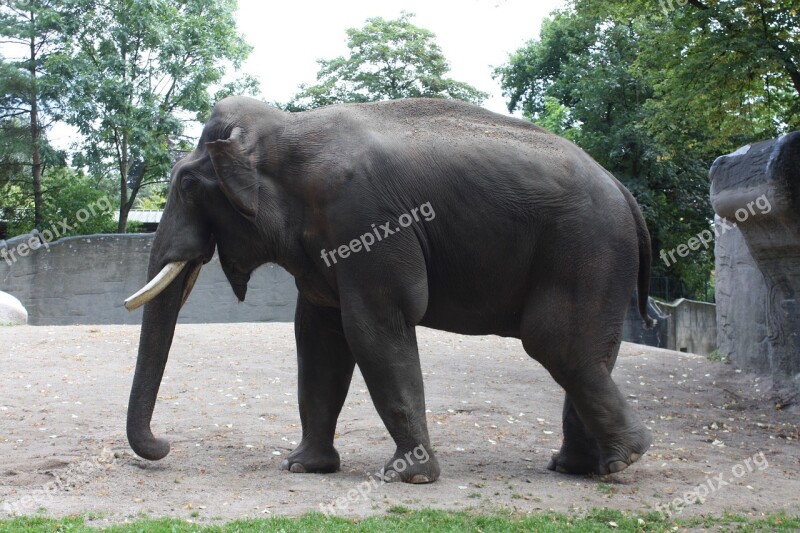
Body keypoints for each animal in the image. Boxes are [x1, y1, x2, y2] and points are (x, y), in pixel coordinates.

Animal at [123, 95, 648, 482]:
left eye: (187, 186)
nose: (165, 445)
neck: (287, 130)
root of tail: (624, 191)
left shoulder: (368, 221)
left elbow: (373, 326)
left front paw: (408, 477)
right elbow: (318, 338)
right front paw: (303, 467)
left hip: (585, 247)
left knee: (557, 343)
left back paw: (627, 457)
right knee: (589, 351)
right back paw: (580, 467)